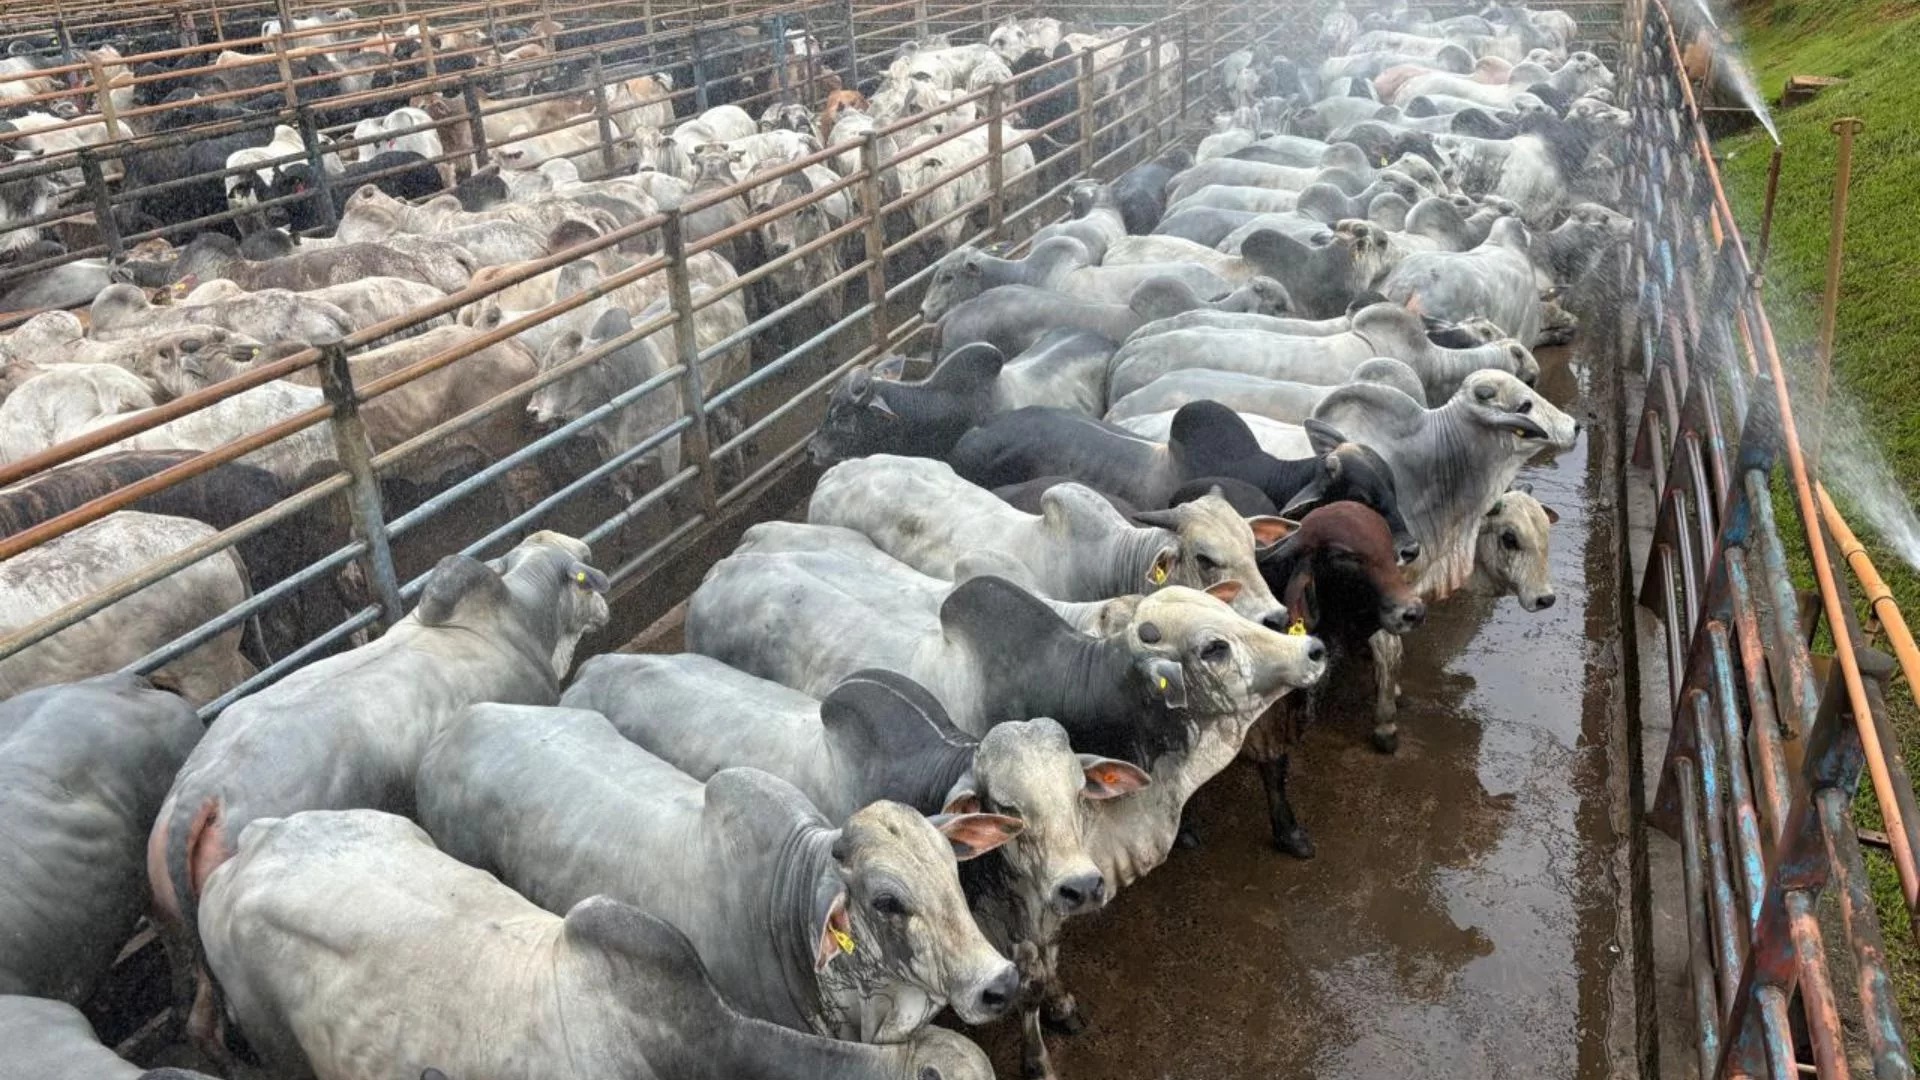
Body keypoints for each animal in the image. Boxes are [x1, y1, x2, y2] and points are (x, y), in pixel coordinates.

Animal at [146, 530, 610, 1053]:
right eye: (584, 568)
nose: (605, 605)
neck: (519, 619)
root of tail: (201, 792)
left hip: (178, 931)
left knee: (200, 1021)